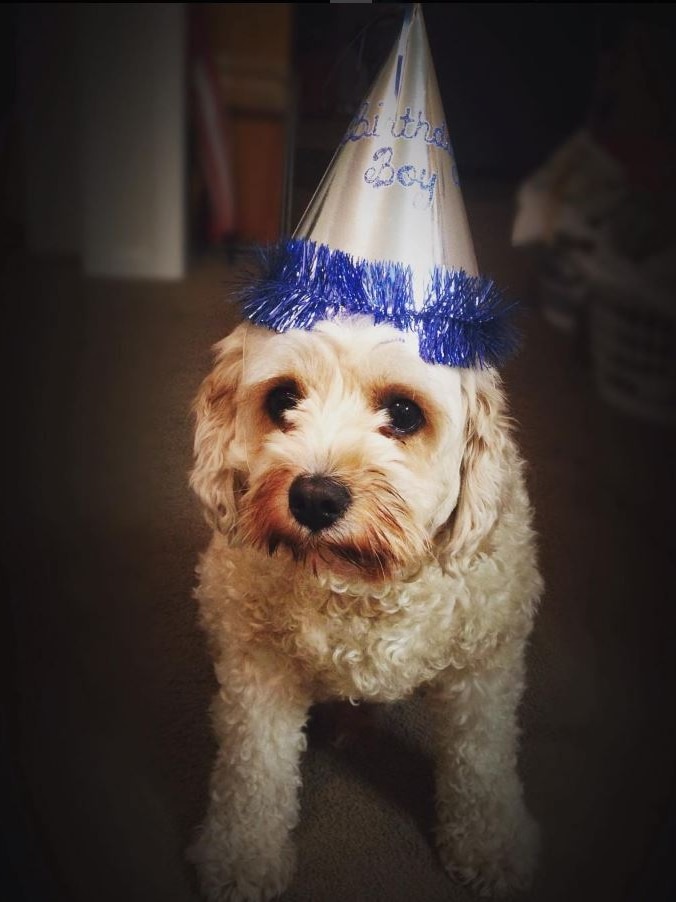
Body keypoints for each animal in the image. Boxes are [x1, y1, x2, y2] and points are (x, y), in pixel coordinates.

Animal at [189, 314, 544, 900]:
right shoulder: (259, 668)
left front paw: (489, 847)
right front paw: (243, 856)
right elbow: (254, 767)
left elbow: (482, 762)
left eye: (403, 412)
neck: (356, 584)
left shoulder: (483, 667)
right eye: (283, 399)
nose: (314, 498)